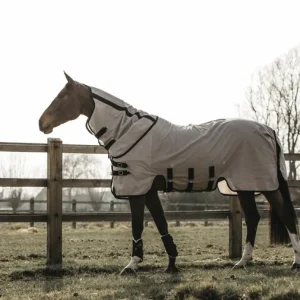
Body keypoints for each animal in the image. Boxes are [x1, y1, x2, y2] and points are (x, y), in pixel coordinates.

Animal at [38, 72, 300, 274]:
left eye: (62, 96)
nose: (42, 123)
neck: (127, 130)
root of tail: (269, 130)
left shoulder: (137, 190)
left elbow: (137, 224)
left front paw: (132, 265)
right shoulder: (150, 191)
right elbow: (161, 222)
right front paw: (172, 263)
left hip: (260, 183)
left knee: (285, 214)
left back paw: (294, 262)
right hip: (246, 186)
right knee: (258, 217)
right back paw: (243, 261)